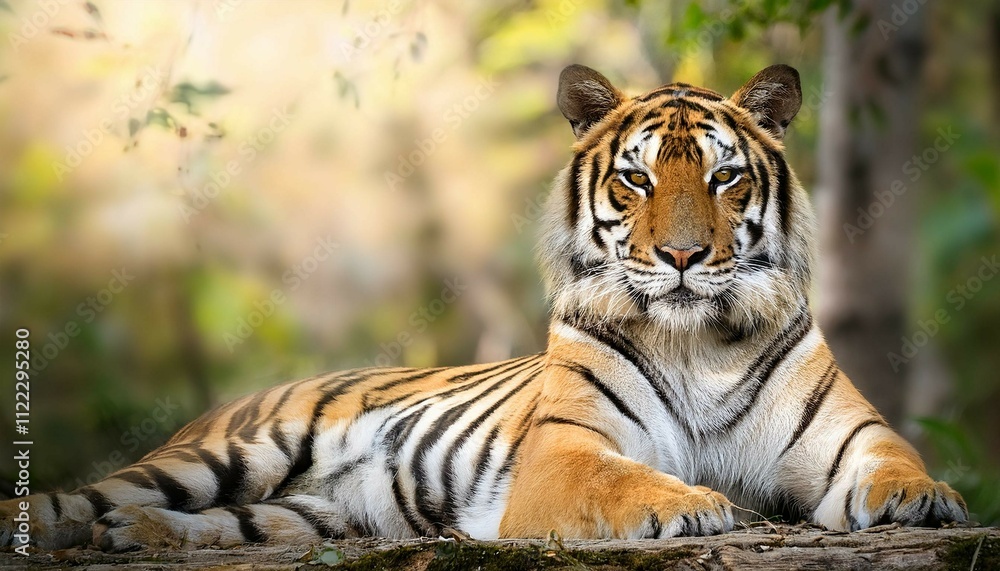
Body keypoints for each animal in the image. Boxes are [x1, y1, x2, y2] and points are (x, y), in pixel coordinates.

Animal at [1, 64, 968, 553]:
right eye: (636, 179)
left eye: (725, 177)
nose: (684, 257)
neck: (697, 339)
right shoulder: (568, 453)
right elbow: (624, 477)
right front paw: (694, 504)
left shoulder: (846, 433)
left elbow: (898, 459)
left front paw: (926, 500)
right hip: (235, 452)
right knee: (72, 495)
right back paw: (82, 523)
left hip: (303, 509)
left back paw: (130, 536)